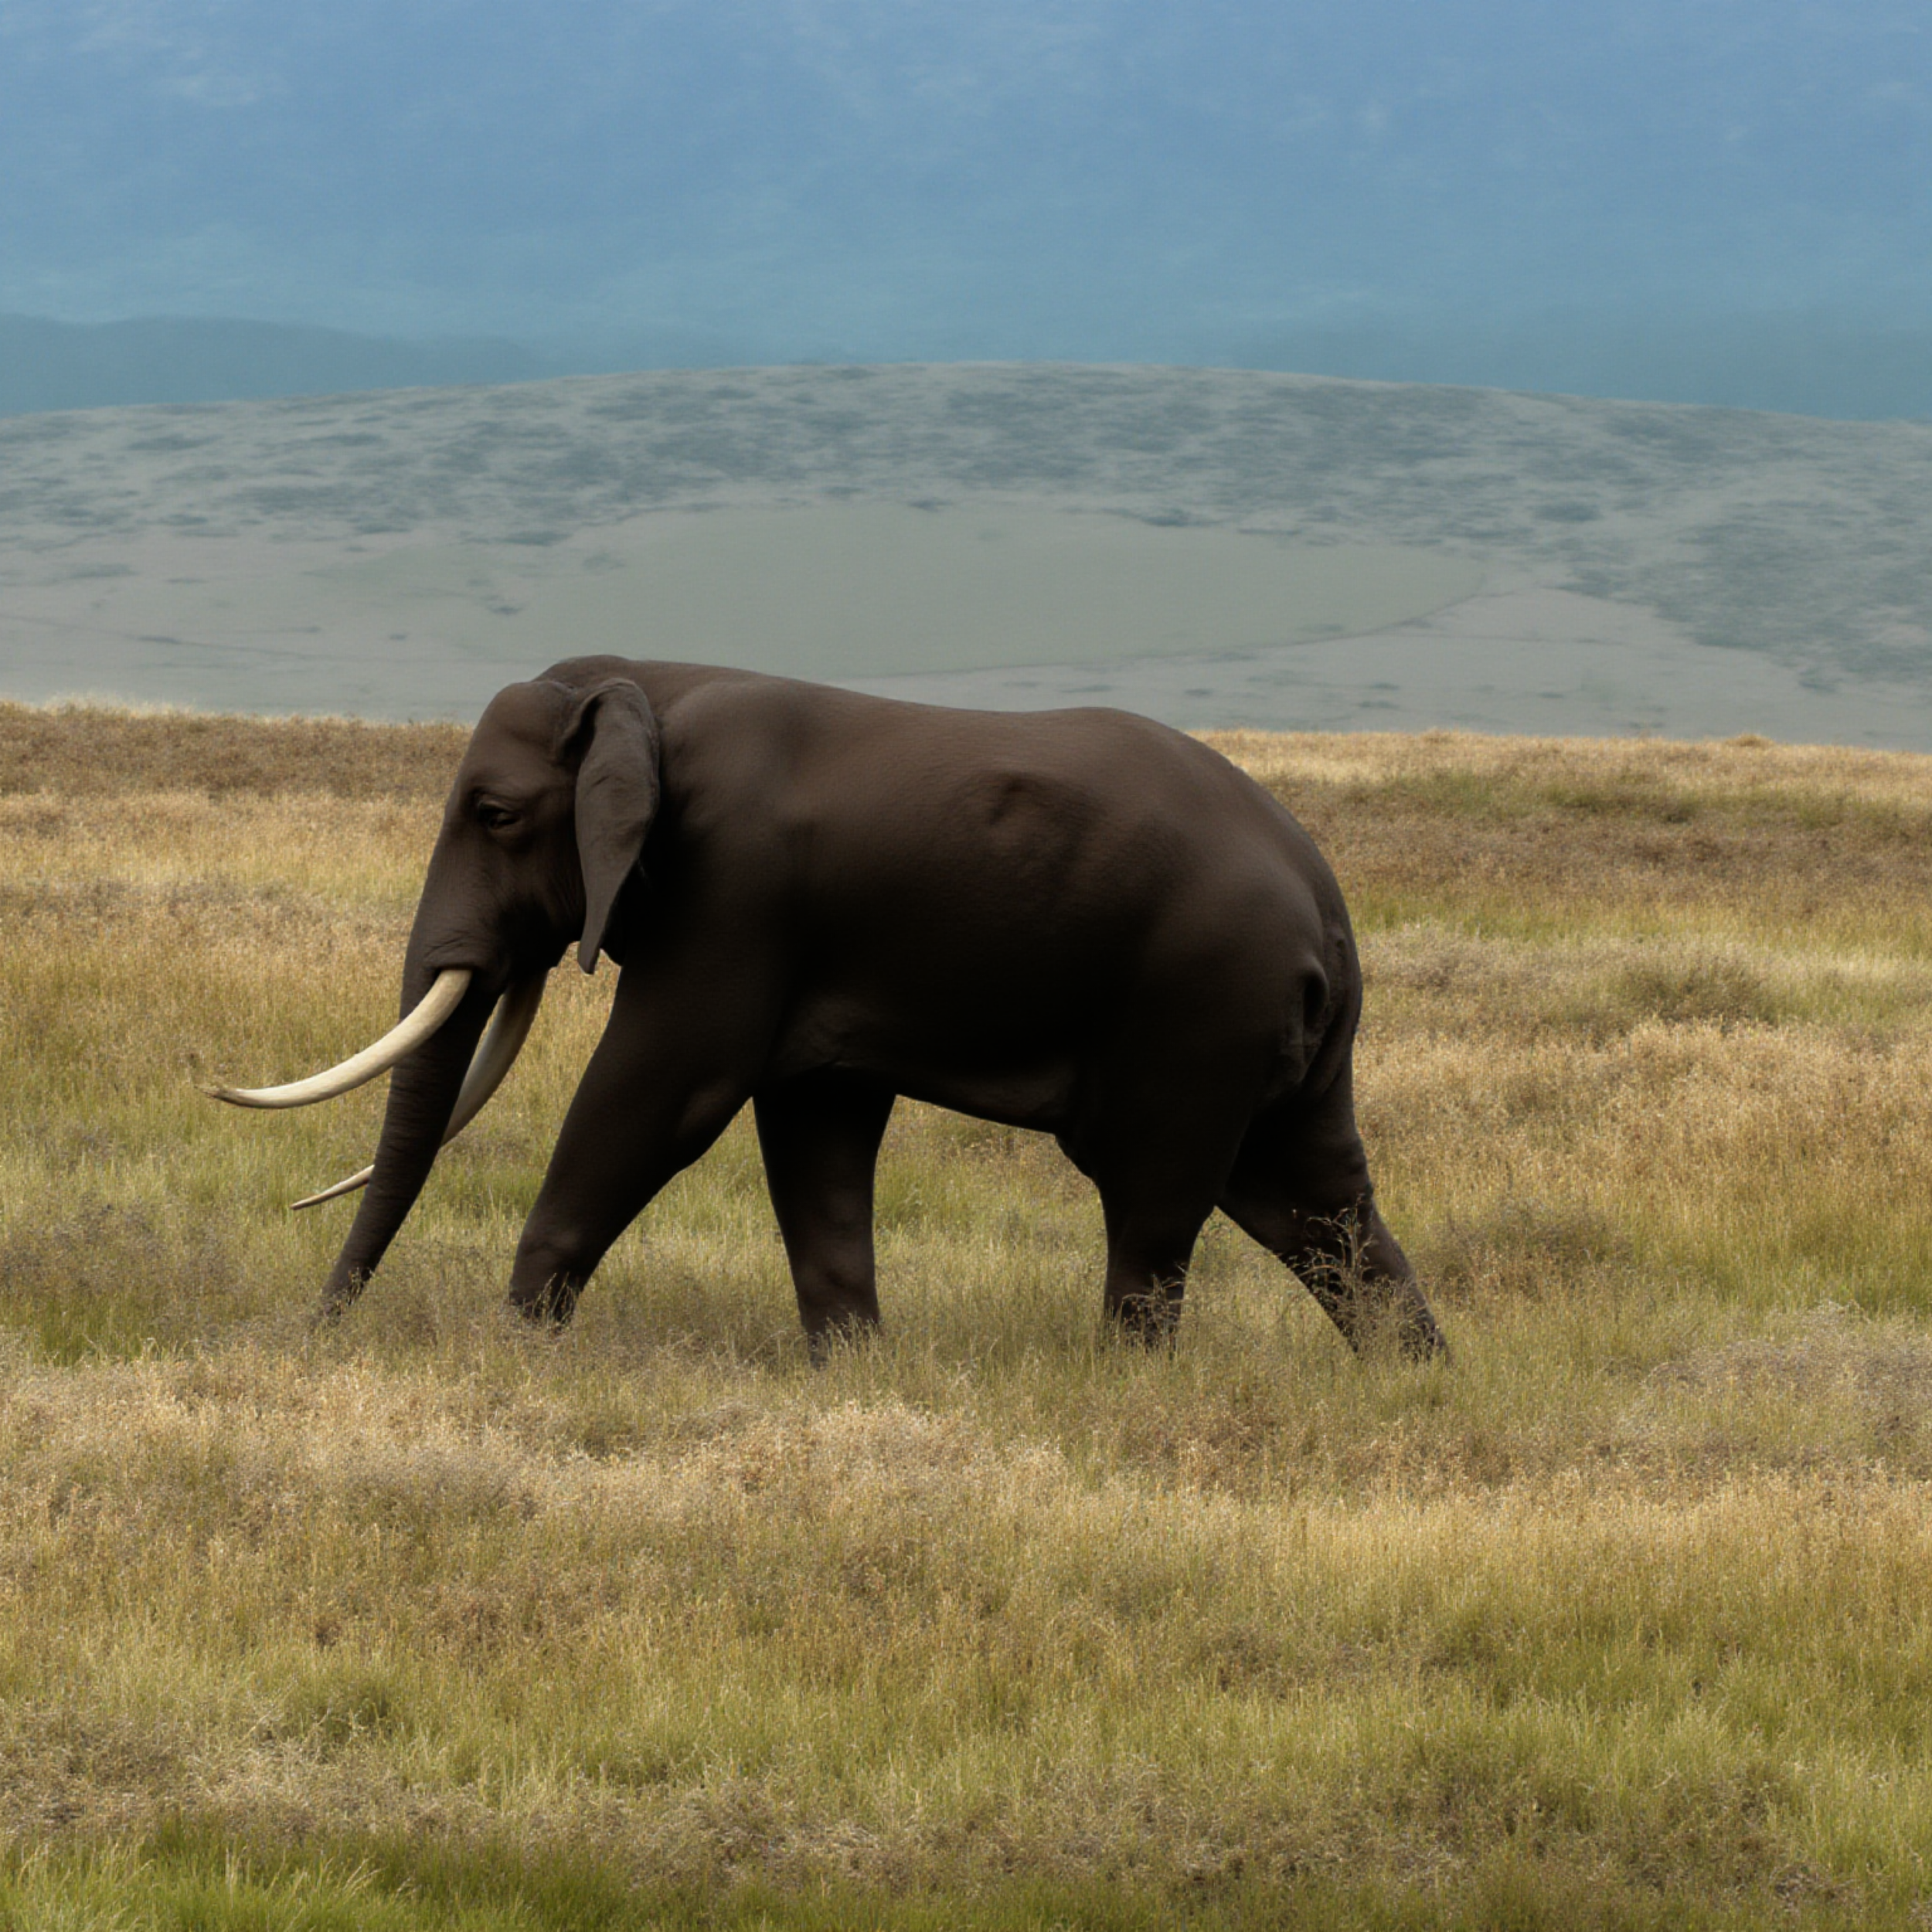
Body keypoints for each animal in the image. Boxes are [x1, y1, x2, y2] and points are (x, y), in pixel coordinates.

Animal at [211, 656, 1445, 1357]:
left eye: (497, 814)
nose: (315, 1338)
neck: (642, 689)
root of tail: (1327, 910)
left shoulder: (731, 887)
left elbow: (664, 1092)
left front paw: (512, 1357)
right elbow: (814, 1132)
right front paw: (853, 1372)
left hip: (1199, 1002)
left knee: (1155, 1213)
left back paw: (1124, 1391)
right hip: (1276, 1034)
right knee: (1315, 1206)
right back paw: (1412, 1383)